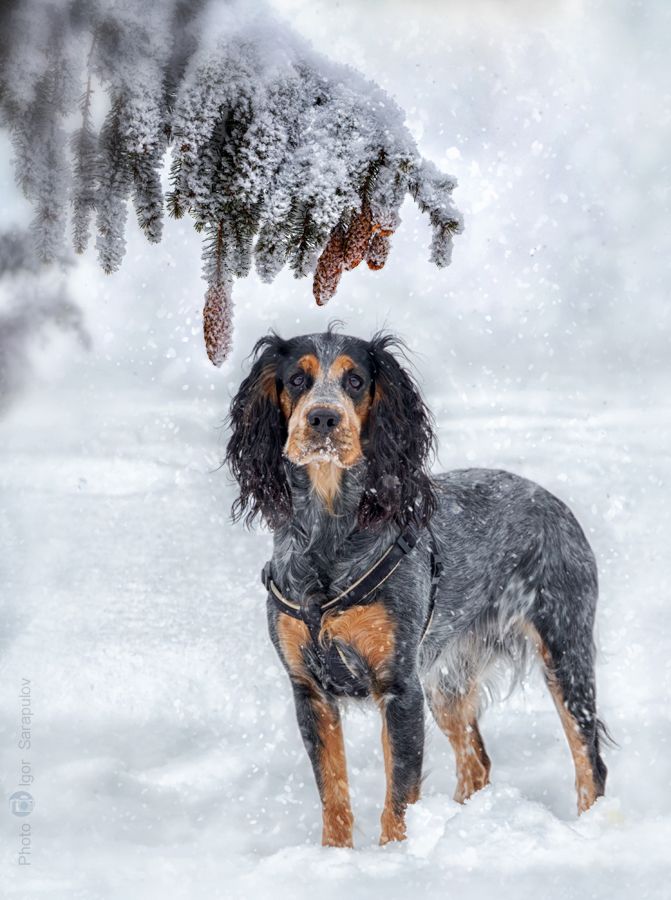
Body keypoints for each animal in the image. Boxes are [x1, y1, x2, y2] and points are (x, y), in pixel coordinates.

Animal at [226, 326, 608, 848]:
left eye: (356, 380)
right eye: (297, 379)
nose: (322, 417)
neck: (329, 540)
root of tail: (553, 501)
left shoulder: (399, 687)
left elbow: (400, 793)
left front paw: (394, 855)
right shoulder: (309, 691)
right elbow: (334, 793)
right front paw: (334, 856)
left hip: (564, 650)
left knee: (589, 758)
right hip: (447, 683)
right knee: (477, 761)